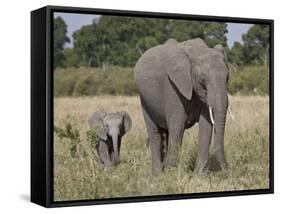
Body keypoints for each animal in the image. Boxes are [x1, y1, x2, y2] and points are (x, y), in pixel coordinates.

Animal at [135, 38, 229, 176]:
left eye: (227, 78)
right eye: (202, 79)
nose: (226, 170)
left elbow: (206, 126)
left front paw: (200, 176)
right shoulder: (172, 86)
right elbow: (177, 125)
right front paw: (171, 175)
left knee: (166, 133)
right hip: (144, 100)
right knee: (155, 133)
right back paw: (157, 176)